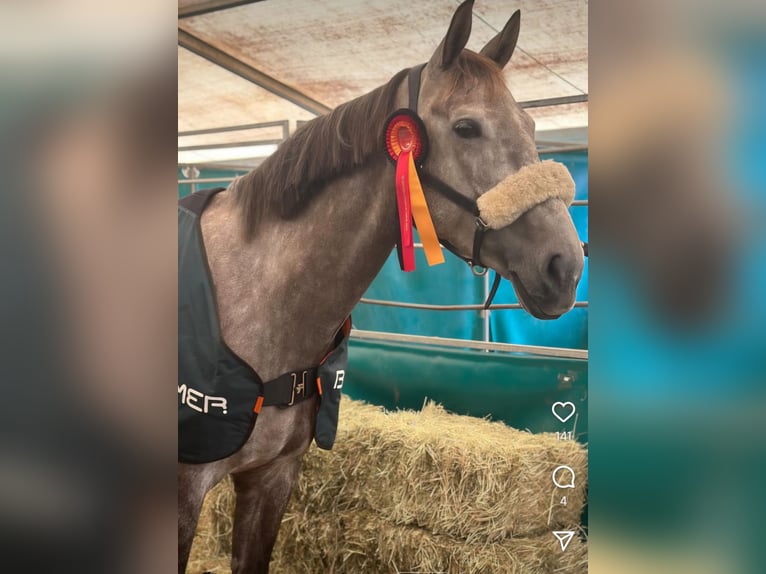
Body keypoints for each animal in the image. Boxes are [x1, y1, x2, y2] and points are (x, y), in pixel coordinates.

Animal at [178, 1, 584, 572]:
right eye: (466, 127)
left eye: (529, 124)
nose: (565, 266)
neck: (256, 298)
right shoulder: (184, 494)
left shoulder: (270, 479)